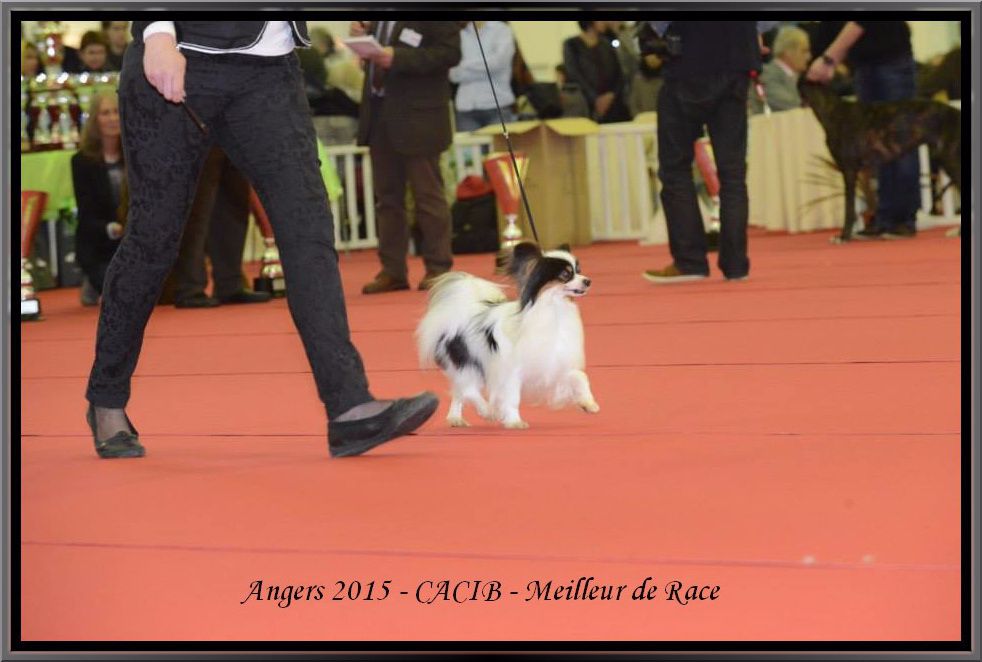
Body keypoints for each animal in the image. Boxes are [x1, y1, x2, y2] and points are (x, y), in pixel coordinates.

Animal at [416, 244, 600, 430]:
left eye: (579, 271)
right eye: (565, 275)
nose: (588, 281)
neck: (554, 308)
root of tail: (461, 308)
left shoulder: (554, 363)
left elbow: (580, 377)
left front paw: (588, 402)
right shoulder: (511, 371)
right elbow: (512, 398)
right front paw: (514, 421)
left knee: (460, 391)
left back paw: (456, 418)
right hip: (468, 363)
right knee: (468, 389)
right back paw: (487, 411)